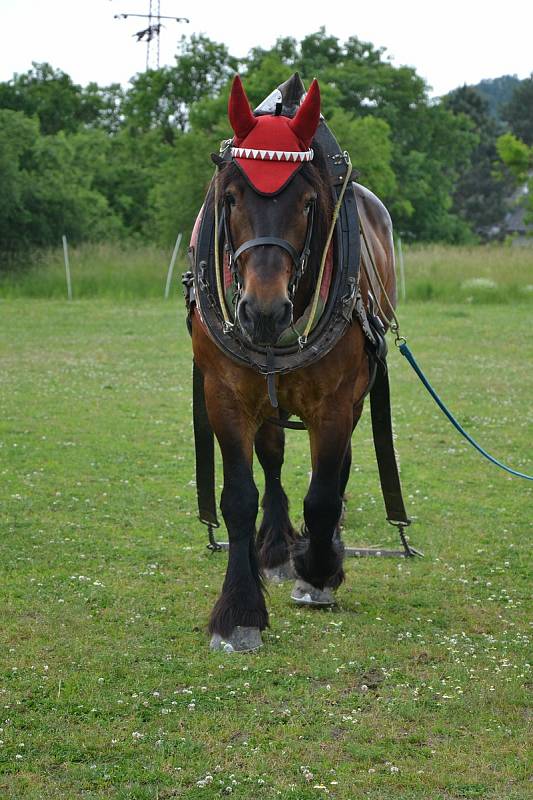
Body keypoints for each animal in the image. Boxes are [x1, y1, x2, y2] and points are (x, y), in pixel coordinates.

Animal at [188, 73, 394, 648]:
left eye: (306, 202)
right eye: (231, 197)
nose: (264, 310)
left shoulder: (336, 403)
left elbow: (323, 495)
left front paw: (319, 573)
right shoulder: (225, 393)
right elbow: (239, 497)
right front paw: (239, 610)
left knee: (337, 472)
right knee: (274, 459)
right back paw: (278, 547)